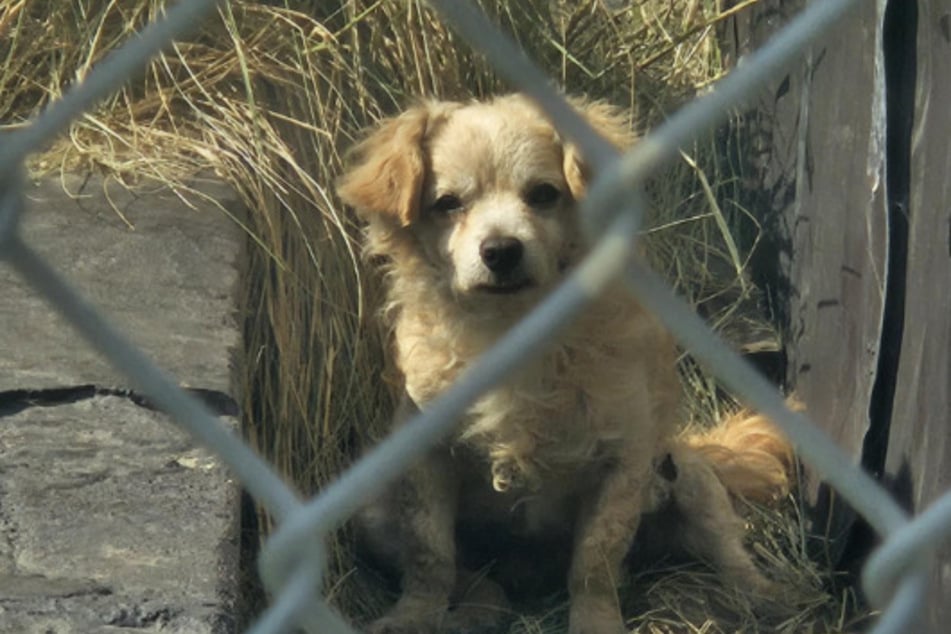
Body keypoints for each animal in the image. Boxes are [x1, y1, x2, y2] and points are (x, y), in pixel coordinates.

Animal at [338, 94, 792, 632]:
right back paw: (481, 605)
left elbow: (595, 561)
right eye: (448, 204)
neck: (514, 331)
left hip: (692, 481)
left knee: (728, 550)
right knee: (468, 575)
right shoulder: (424, 461)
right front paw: (413, 615)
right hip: (373, 512)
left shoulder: (623, 462)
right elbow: (429, 554)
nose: (500, 250)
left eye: (543, 195)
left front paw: (595, 622)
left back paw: (768, 594)